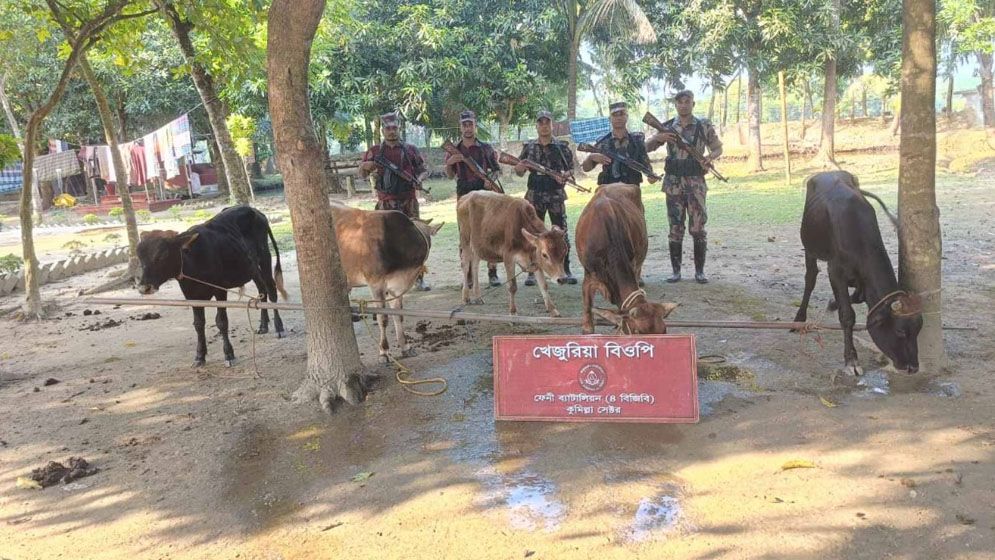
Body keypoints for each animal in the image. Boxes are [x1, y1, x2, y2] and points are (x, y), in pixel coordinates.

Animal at [134, 206, 288, 368]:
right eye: (139, 256)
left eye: (162, 255)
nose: (144, 287)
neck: (193, 260)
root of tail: (255, 211)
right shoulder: (191, 296)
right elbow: (198, 324)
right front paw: (199, 356)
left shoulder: (219, 290)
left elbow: (221, 322)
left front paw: (229, 354)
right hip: (252, 268)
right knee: (262, 290)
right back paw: (263, 326)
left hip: (264, 257)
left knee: (271, 290)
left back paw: (279, 327)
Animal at [330, 201, 444, 364]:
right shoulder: (376, 284)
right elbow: (382, 318)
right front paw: (383, 352)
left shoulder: (397, 287)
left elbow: (399, 315)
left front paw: (405, 347)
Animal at [792, 168, 924, 374]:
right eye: (900, 331)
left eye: (918, 329)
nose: (913, 367)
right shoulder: (835, 271)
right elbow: (848, 316)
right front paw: (851, 360)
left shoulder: (861, 281)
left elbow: (855, 298)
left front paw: (832, 303)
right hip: (810, 248)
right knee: (810, 278)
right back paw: (799, 318)